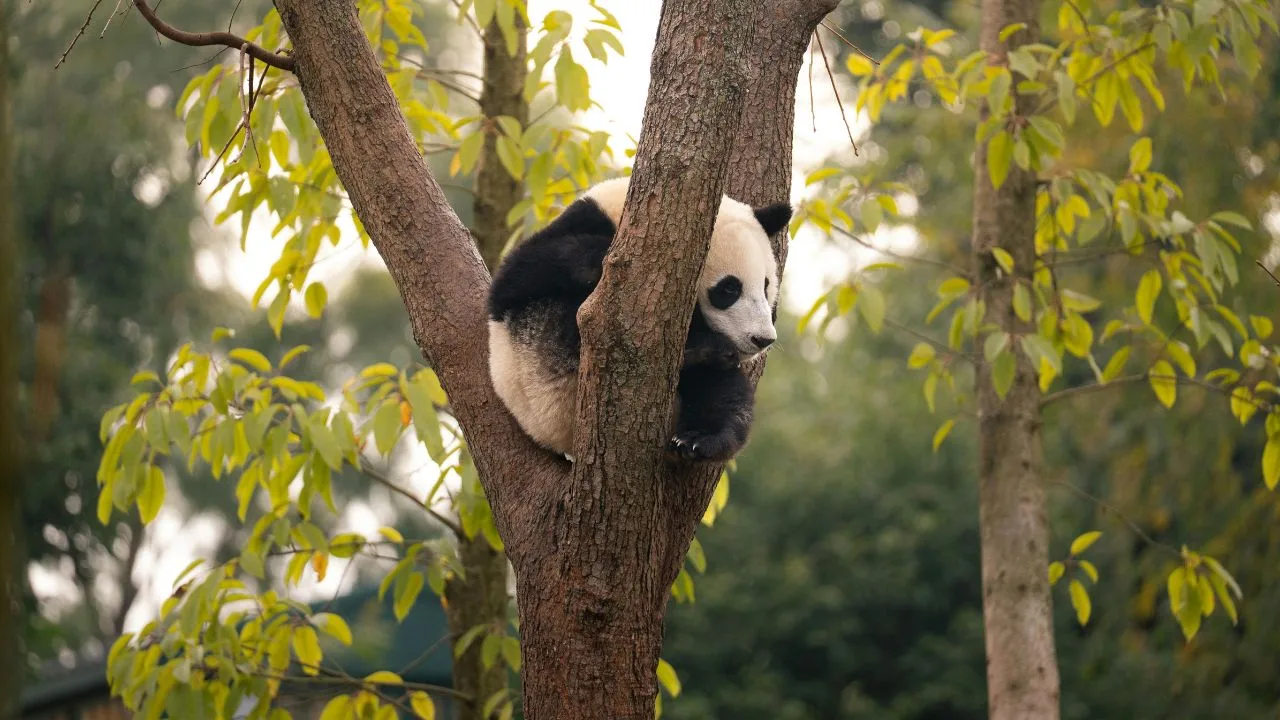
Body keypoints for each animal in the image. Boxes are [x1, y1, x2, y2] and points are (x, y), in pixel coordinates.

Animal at [486, 176, 792, 463]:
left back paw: (700, 438)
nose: (762, 339)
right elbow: (517, 277)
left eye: (766, 286)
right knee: (578, 326)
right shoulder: (575, 225)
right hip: (538, 363)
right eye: (729, 289)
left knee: (723, 392)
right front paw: (605, 258)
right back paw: (700, 349)